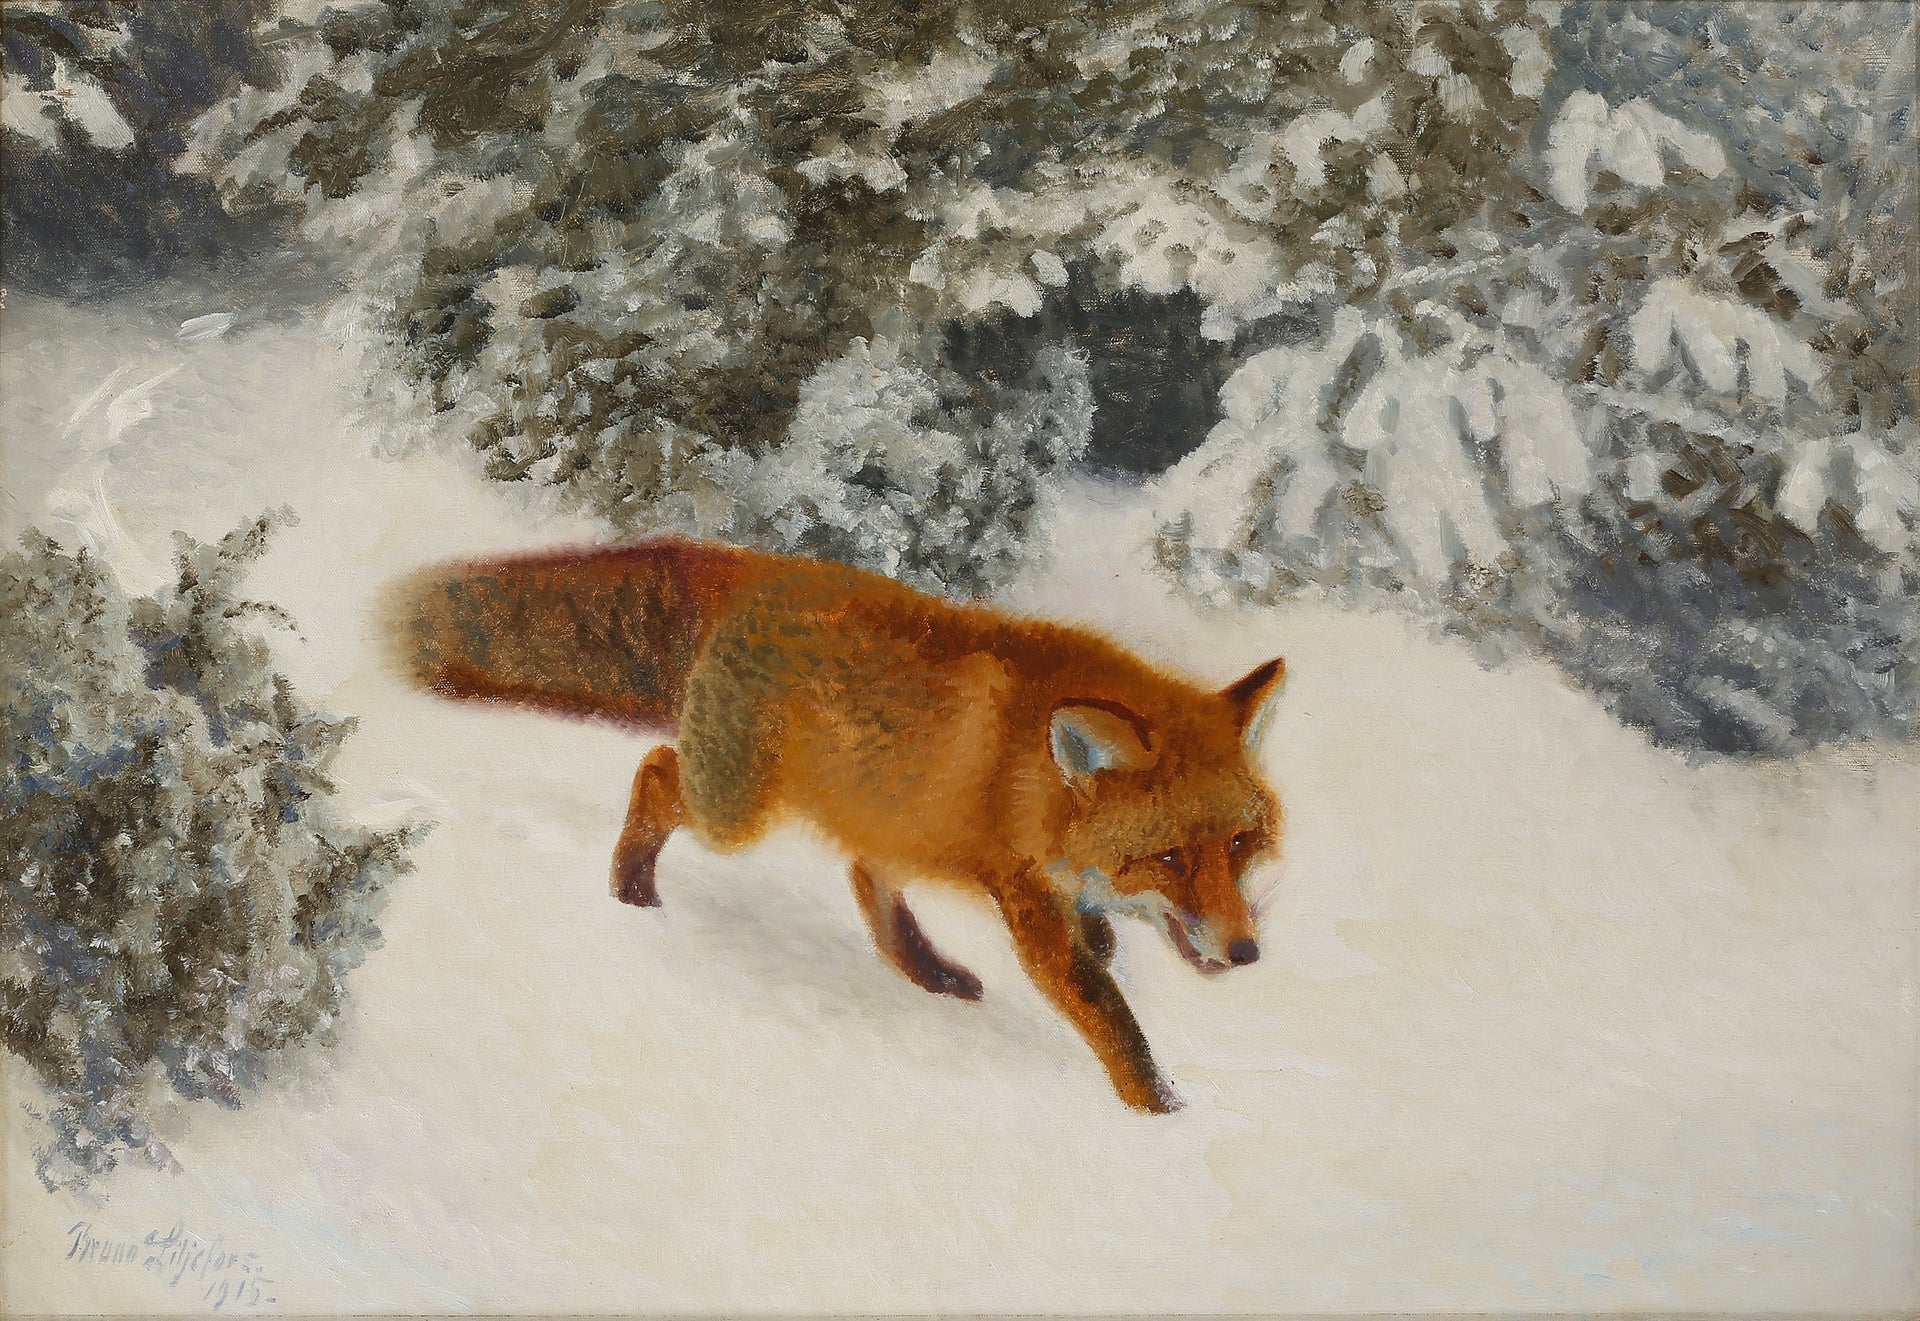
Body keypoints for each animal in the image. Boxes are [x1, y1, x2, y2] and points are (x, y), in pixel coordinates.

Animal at [392, 538, 1287, 1112]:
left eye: (1239, 843)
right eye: (1170, 856)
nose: (1247, 952)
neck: (1038, 779)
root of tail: (762, 568)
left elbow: (1099, 943)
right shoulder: (1028, 900)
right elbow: (1112, 1020)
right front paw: (1162, 1115)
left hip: (883, 807)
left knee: (866, 877)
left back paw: (929, 972)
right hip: (734, 812)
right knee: (654, 769)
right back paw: (631, 888)